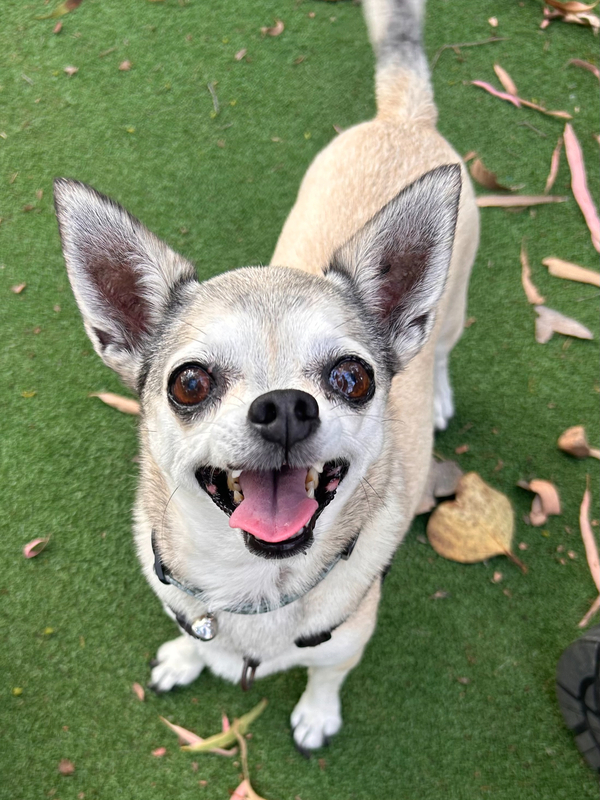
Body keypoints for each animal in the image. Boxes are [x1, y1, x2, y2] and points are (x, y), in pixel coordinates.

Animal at [53, 0, 479, 751]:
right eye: (189, 383)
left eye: (353, 378)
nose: (285, 407)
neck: (253, 585)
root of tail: (404, 120)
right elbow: (193, 634)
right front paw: (186, 657)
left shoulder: (346, 644)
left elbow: (327, 675)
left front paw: (316, 715)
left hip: (451, 306)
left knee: (445, 346)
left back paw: (437, 395)